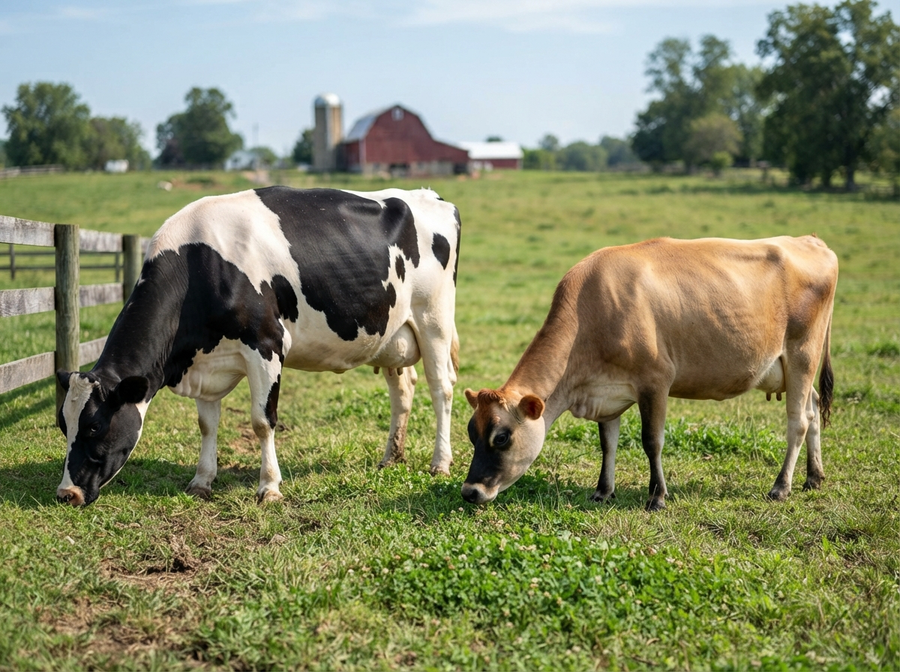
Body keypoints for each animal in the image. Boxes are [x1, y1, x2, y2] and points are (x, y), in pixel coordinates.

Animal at [55, 186, 461, 506]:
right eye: (63, 425)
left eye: (93, 427)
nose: (66, 493)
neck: (199, 264)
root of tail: (432, 196)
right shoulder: (205, 363)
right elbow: (206, 424)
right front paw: (201, 481)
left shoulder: (267, 346)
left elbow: (262, 422)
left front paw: (269, 487)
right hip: (393, 334)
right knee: (403, 390)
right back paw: (391, 457)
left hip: (434, 320)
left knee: (441, 388)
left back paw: (440, 463)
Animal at [461, 235, 837, 511]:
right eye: (471, 433)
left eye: (502, 437)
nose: (469, 492)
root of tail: (811, 240)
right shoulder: (606, 392)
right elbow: (607, 443)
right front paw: (603, 491)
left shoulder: (656, 381)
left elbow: (651, 441)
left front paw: (657, 496)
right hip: (789, 368)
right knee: (812, 409)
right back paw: (813, 477)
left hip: (802, 353)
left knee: (797, 421)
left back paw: (781, 486)